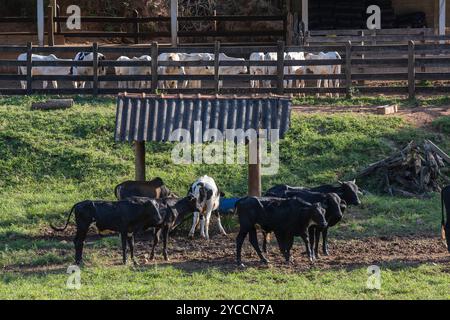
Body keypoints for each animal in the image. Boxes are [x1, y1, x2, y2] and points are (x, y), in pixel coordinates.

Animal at [51, 195, 195, 264]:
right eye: (151, 207)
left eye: (157, 207)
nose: (160, 218)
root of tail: (80, 203)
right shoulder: (124, 231)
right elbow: (125, 247)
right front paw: (125, 261)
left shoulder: (132, 232)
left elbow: (132, 246)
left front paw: (134, 261)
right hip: (82, 227)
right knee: (78, 242)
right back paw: (79, 261)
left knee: (79, 242)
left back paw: (79, 260)